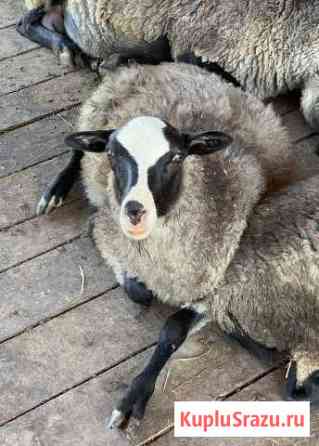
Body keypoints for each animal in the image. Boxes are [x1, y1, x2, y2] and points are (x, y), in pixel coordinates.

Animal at [60, 62, 319, 428]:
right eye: (112, 155)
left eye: (176, 157)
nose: (134, 211)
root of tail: (160, 66)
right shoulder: (106, 231)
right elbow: (138, 292)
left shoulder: (213, 287)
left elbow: (173, 329)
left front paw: (135, 396)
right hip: (96, 113)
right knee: (79, 146)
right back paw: (54, 190)